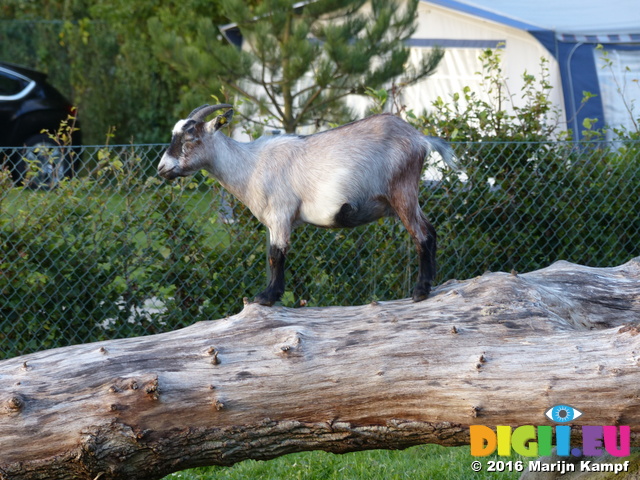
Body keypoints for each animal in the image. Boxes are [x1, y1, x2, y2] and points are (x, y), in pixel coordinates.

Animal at [158, 104, 458, 306]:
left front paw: (267, 297)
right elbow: (273, 254)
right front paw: (270, 294)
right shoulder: (273, 221)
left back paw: (420, 292)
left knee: (421, 235)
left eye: (190, 138)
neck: (250, 164)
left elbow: (276, 255)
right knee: (431, 230)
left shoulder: (281, 214)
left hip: (402, 191)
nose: (162, 169)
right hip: (406, 198)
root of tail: (420, 139)